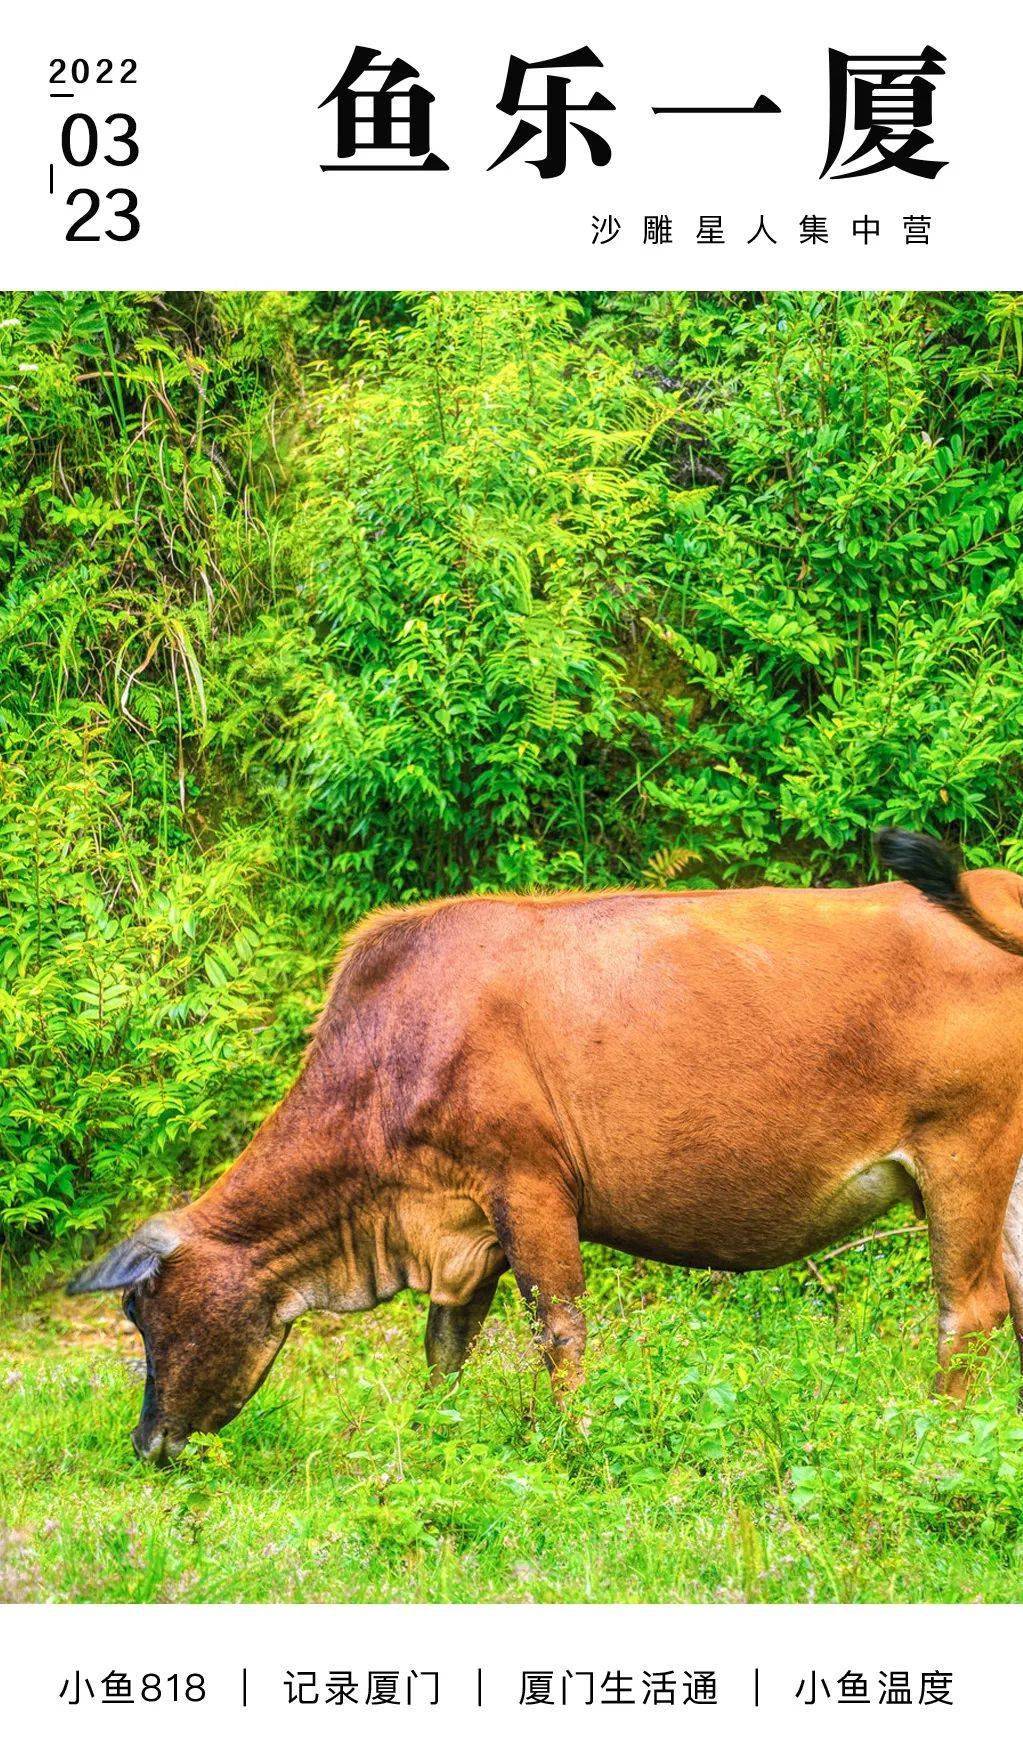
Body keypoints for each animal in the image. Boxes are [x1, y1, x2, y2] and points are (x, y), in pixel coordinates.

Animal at [67, 827, 1023, 1458]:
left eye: (139, 1308)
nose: (146, 1442)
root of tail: (997, 885)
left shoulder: (526, 1183)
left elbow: (558, 1328)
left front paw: (574, 1441)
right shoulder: (463, 1227)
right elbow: (445, 1346)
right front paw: (432, 1435)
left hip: (962, 1151)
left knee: (968, 1307)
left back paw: (938, 1437)